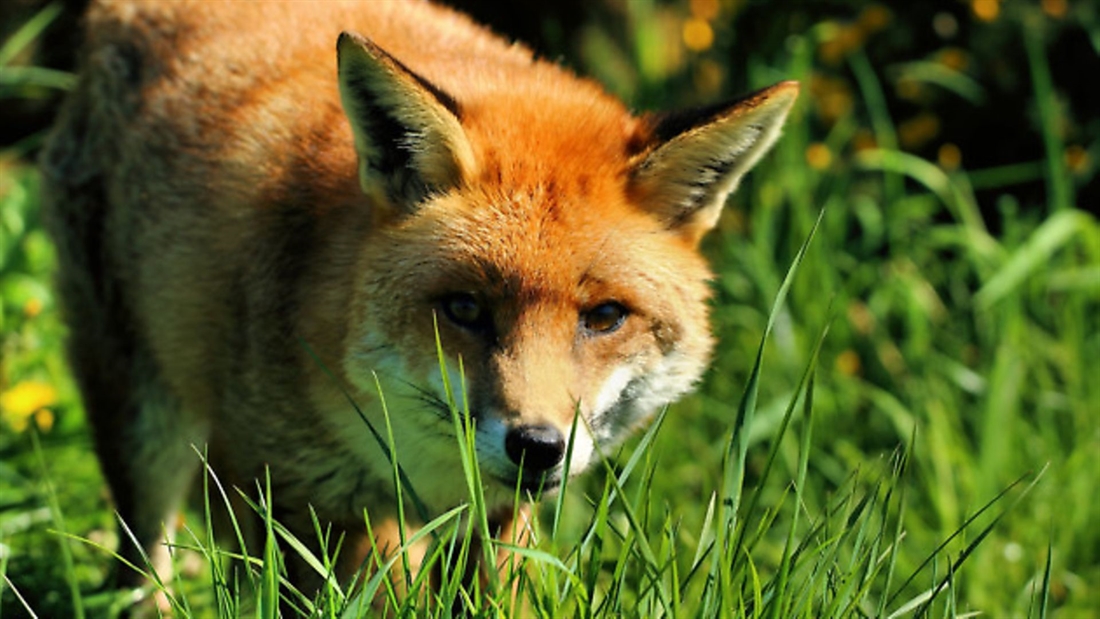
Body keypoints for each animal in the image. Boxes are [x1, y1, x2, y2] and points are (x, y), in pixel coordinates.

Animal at [40, 0, 800, 606]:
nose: (538, 448)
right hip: (142, 420)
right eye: (464, 309)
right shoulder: (303, 497)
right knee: (141, 565)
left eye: (605, 317)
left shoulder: (496, 519)